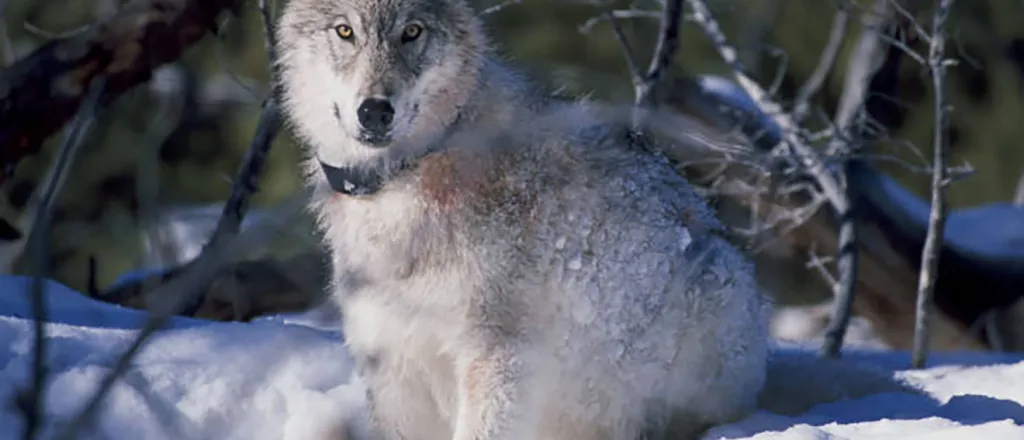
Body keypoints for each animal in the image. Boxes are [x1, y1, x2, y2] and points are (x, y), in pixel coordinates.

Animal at [274, 0, 774, 437]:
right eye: (345, 31)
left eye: (411, 31)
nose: (375, 110)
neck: (407, 174)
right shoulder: (392, 363)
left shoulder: (498, 356)